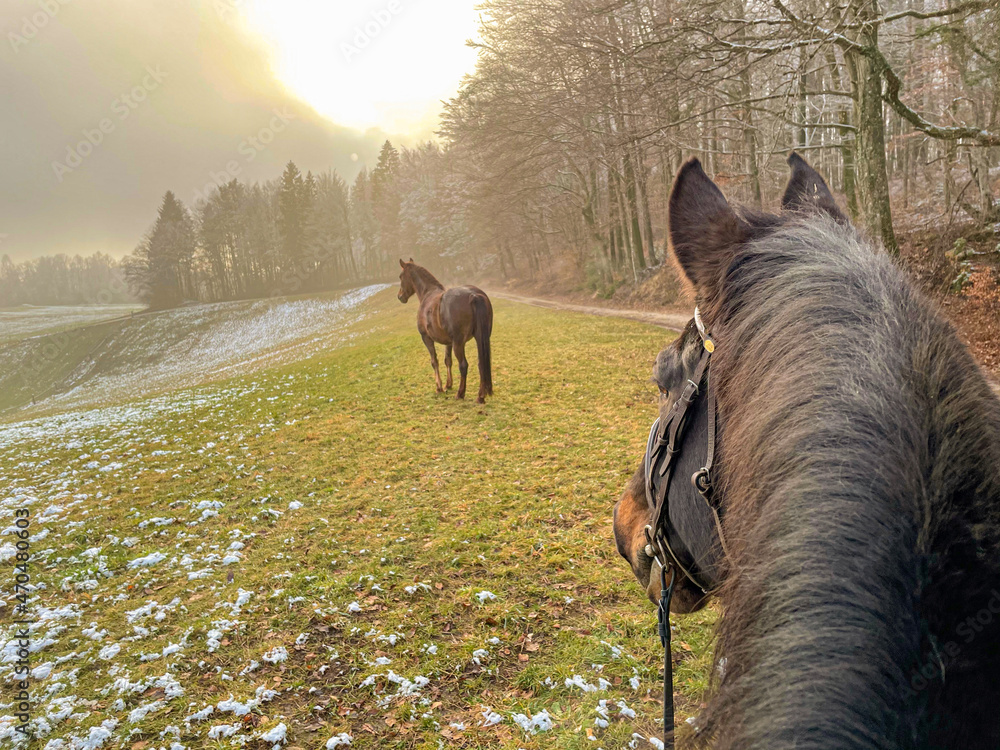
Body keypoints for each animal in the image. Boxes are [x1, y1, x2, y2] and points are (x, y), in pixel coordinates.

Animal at [396, 262, 494, 408]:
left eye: (401, 276)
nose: (400, 296)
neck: (428, 294)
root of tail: (474, 295)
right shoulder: (448, 342)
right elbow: (448, 360)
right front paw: (448, 384)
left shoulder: (427, 338)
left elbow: (434, 361)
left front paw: (439, 387)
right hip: (480, 338)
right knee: (481, 364)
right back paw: (480, 397)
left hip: (458, 344)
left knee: (463, 365)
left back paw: (460, 394)